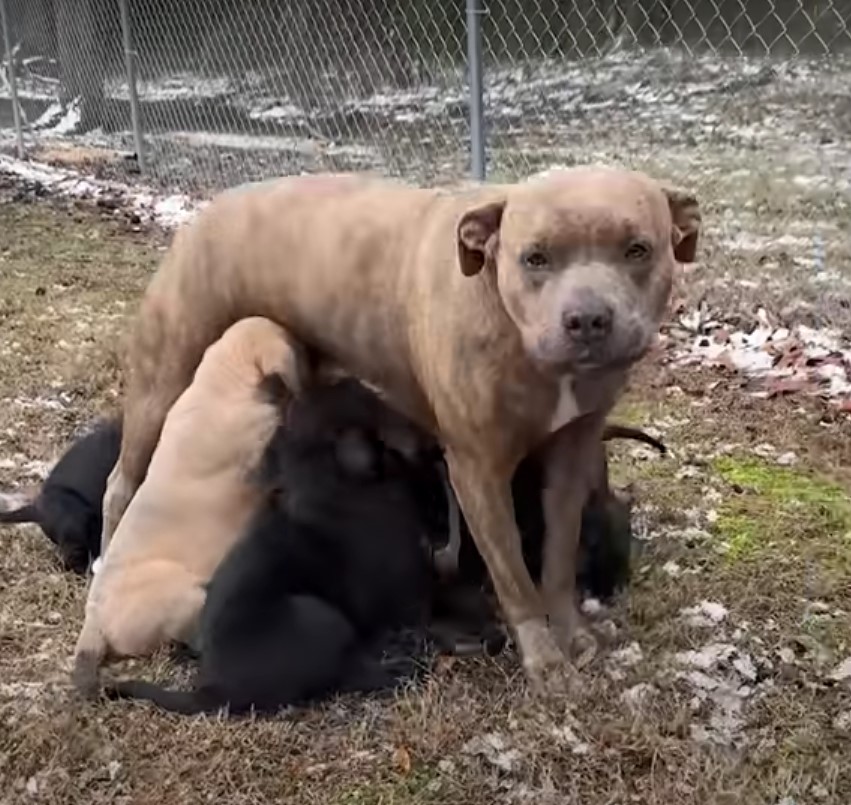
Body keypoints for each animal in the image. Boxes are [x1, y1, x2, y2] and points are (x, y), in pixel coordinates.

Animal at [105, 378, 436, 716]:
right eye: (371, 403)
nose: (347, 378)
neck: (321, 480)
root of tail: (212, 690)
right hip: (320, 616)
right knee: (344, 674)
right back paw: (398, 668)